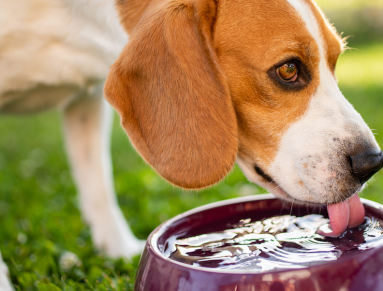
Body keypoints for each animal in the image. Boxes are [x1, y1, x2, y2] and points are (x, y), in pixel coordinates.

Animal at [0, 0, 382, 290]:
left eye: (335, 61)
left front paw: (119, 250)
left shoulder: (88, 99)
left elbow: (98, 183)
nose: (371, 162)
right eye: (288, 70)